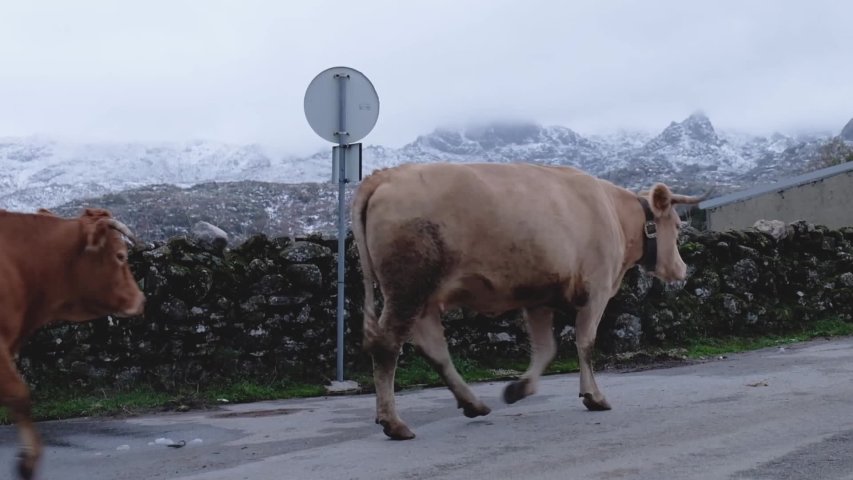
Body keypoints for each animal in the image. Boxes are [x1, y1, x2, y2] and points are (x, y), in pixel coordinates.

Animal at [350, 161, 712, 440]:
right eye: (677, 224)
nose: (682, 268)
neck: (616, 216)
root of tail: (385, 176)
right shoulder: (596, 290)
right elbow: (585, 343)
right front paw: (593, 396)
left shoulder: (539, 297)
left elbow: (546, 348)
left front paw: (518, 389)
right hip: (408, 288)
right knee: (388, 345)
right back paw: (394, 423)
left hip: (424, 297)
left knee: (435, 349)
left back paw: (472, 404)